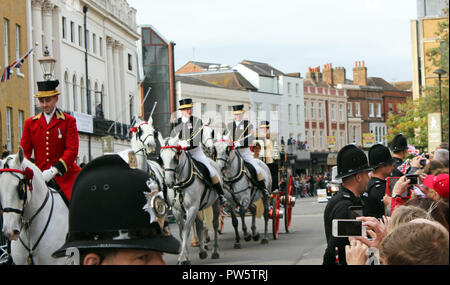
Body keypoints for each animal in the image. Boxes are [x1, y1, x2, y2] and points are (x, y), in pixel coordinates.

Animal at [158, 135, 221, 264]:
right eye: (161, 158)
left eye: (175, 156)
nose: (169, 182)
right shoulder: (177, 211)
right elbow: (182, 232)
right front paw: (185, 256)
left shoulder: (192, 208)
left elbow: (186, 230)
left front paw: (182, 257)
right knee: (200, 223)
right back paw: (202, 250)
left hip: (215, 203)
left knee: (215, 224)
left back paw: (215, 251)